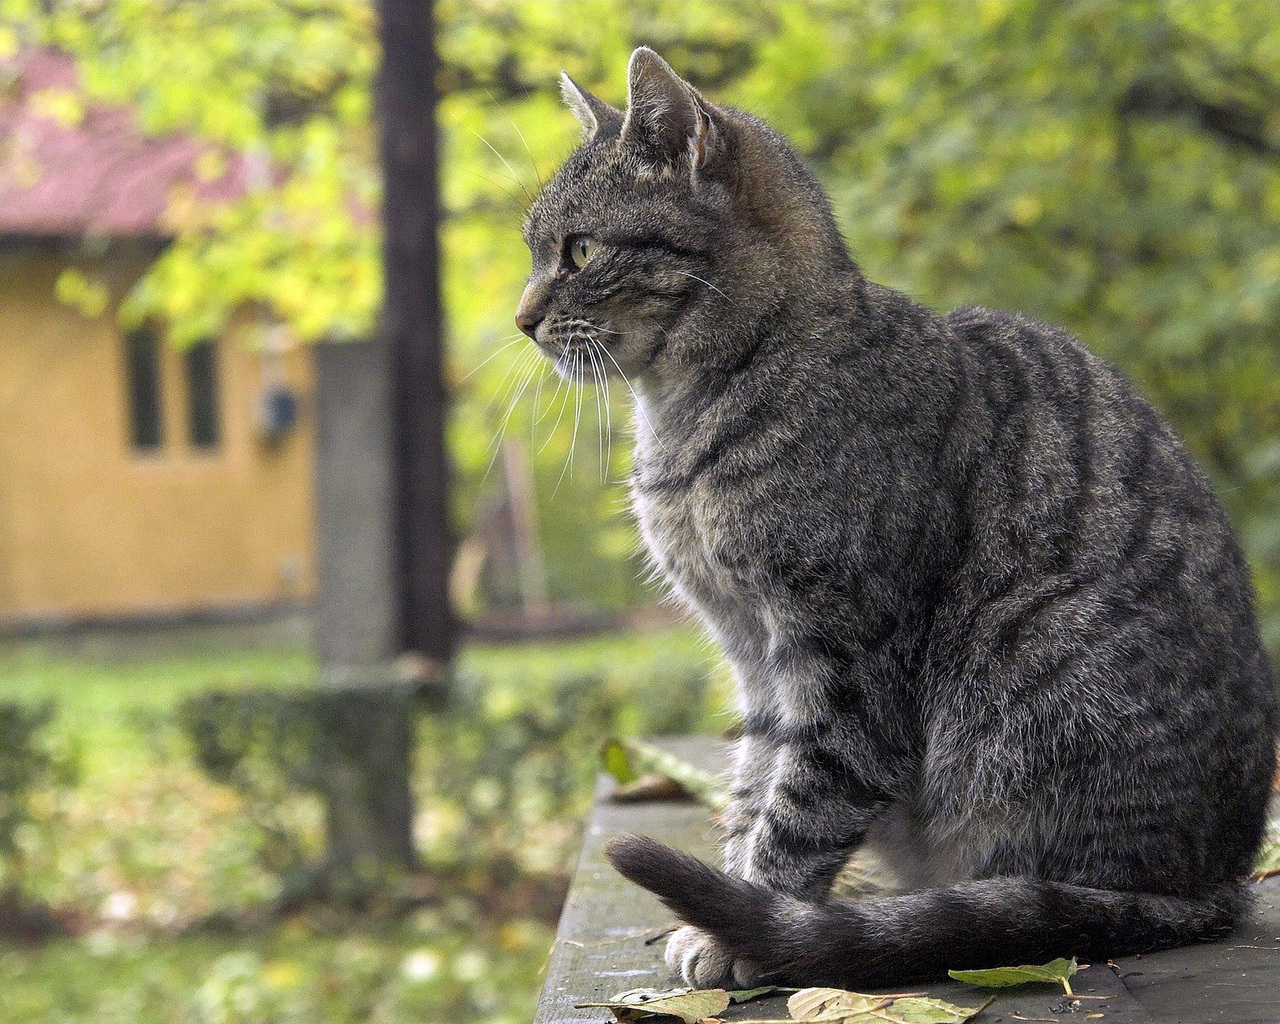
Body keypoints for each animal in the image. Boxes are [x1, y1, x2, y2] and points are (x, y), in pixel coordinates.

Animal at [514, 49, 1274, 993]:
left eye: (579, 250)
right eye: (533, 250)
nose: (522, 319)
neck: (689, 419)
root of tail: (1218, 883)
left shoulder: (847, 660)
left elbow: (800, 808)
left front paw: (745, 924)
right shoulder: (754, 657)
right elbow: (753, 785)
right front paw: (727, 901)